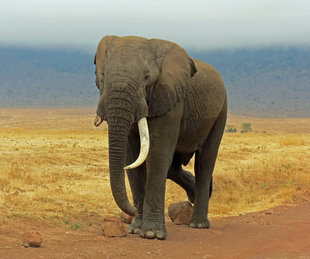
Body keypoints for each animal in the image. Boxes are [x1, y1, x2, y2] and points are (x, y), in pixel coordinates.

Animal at [93, 35, 226, 241]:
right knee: (173, 169)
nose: (132, 210)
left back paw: (198, 224)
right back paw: (195, 195)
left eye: (147, 78)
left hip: (220, 113)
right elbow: (132, 158)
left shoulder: (171, 99)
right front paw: (136, 230)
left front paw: (152, 234)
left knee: (205, 162)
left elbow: (157, 155)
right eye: (103, 76)